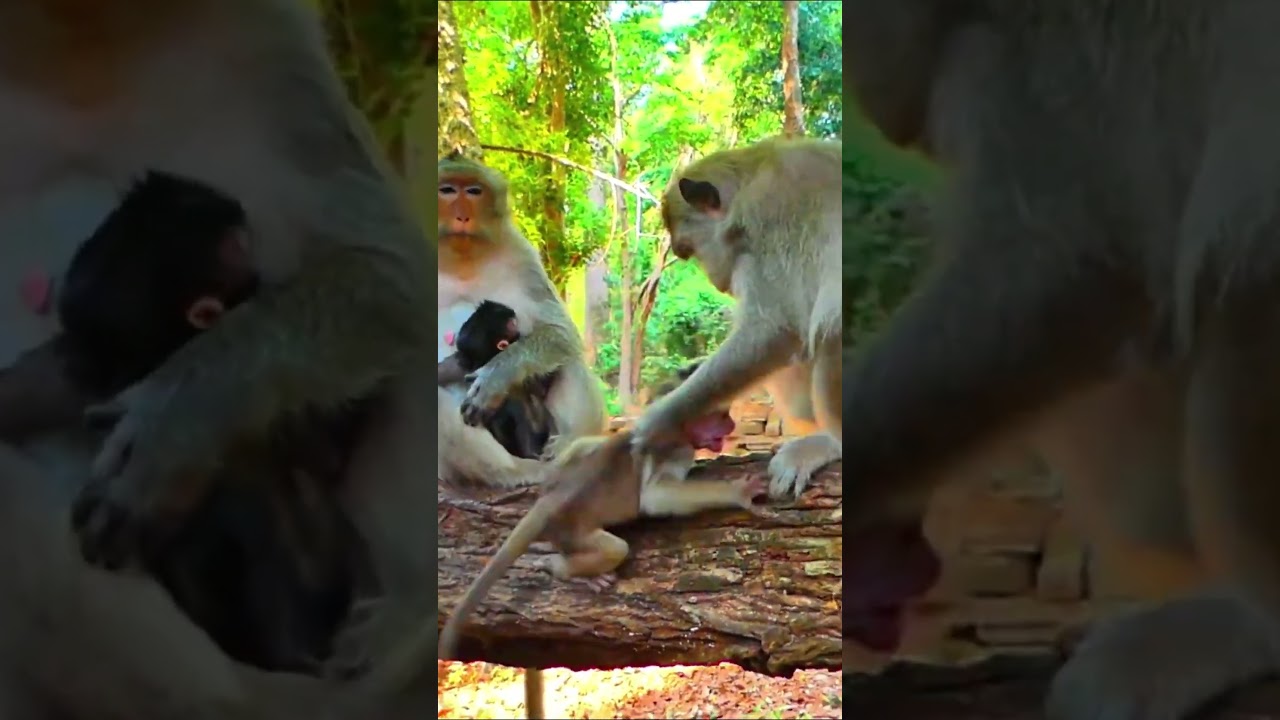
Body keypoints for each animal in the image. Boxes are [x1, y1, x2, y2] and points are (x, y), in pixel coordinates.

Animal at [631, 137, 842, 501]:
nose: (717, 282)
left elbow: (775, 329)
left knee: (831, 322)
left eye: (688, 250)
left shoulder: (771, 226)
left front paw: (658, 421)